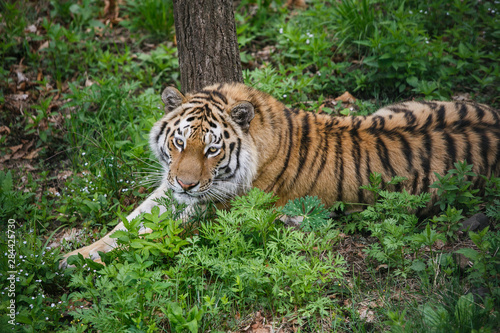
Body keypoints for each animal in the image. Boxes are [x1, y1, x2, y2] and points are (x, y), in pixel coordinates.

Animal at [61, 81, 500, 266]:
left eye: (212, 149)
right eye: (179, 142)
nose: (185, 183)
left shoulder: (214, 210)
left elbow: (148, 235)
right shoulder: (172, 192)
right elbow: (127, 223)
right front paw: (69, 254)